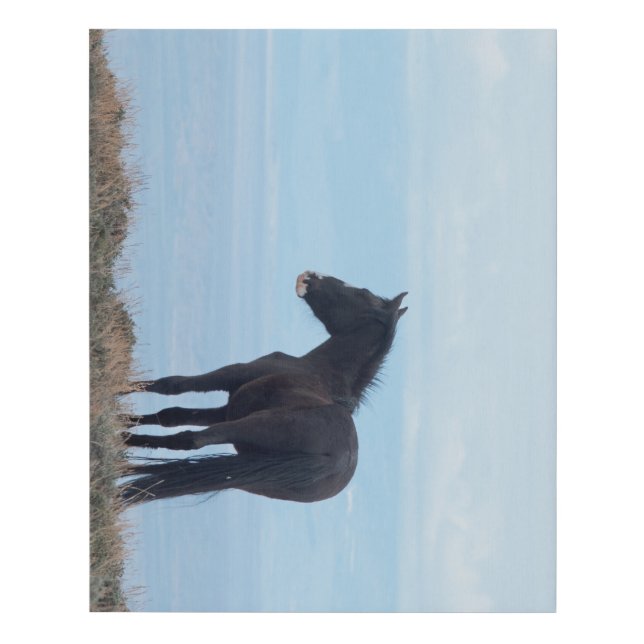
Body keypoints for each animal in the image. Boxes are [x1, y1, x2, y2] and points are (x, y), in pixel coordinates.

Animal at [121, 271, 407, 505]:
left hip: (251, 425)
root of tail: (337, 461)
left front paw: (121, 397)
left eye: (362, 292)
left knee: (190, 439)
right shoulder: (227, 408)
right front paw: (124, 422)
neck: (320, 369)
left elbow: (170, 386)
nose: (309, 276)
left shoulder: (232, 376)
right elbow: (171, 415)